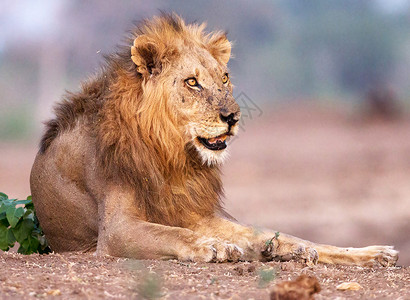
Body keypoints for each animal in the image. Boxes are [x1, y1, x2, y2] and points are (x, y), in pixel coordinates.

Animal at [30, 14, 398, 268]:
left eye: (224, 78)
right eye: (192, 82)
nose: (233, 117)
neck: (171, 154)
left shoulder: (195, 211)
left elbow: (264, 231)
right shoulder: (115, 231)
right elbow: (171, 233)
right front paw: (215, 247)